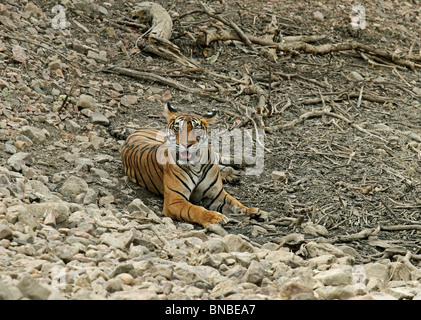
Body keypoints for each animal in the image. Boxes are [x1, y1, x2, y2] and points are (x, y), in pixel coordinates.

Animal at [111, 103, 262, 228]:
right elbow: (195, 209)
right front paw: (215, 218)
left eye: (196, 129)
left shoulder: (216, 194)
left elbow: (234, 202)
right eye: (177, 128)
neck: (196, 164)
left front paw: (253, 211)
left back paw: (246, 161)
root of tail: (135, 132)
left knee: (218, 155)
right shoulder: (175, 200)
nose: (186, 145)